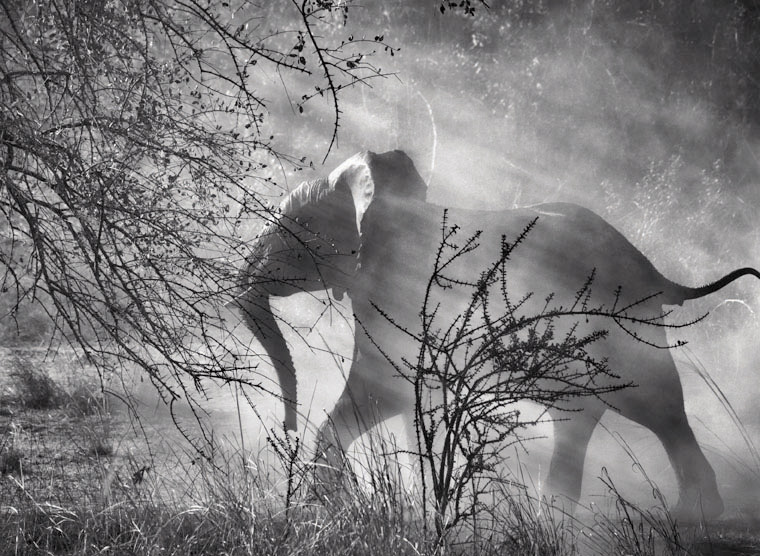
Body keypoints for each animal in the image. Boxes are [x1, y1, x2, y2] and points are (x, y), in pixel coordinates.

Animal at [239, 149, 760, 520]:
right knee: (587, 415)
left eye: (291, 227)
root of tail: (654, 270)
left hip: (621, 324)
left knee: (653, 403)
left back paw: (692, 514)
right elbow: (407, 398)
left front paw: (325, 504)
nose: (284, 428)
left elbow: (382, 390)